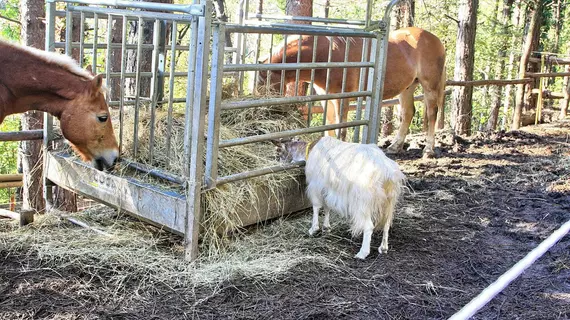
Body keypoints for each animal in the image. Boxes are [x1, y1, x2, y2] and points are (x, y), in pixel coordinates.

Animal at [256, 26, 444, 158]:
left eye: (264, 86)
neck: (325, 54)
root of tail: (434, 39)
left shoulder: (341, 97)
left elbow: (341, 127)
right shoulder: (326, 97)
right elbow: (330, 124)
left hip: (430, 86)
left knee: (432, 113)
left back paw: (428, 149)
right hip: (408, 87)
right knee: (407, 113)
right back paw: (395, 147)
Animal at [272, 136, 402, 258]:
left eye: (278, 151)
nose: (280, 164)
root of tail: (387, 172)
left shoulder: (315, 185)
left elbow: (316, 206)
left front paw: (314, 229)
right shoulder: (327, 187)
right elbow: (327, 206)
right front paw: (326, 227)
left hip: (362, 202)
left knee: (369, 226)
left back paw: (362, 253)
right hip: (389, 200)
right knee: (387, 223)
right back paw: (383, 247)